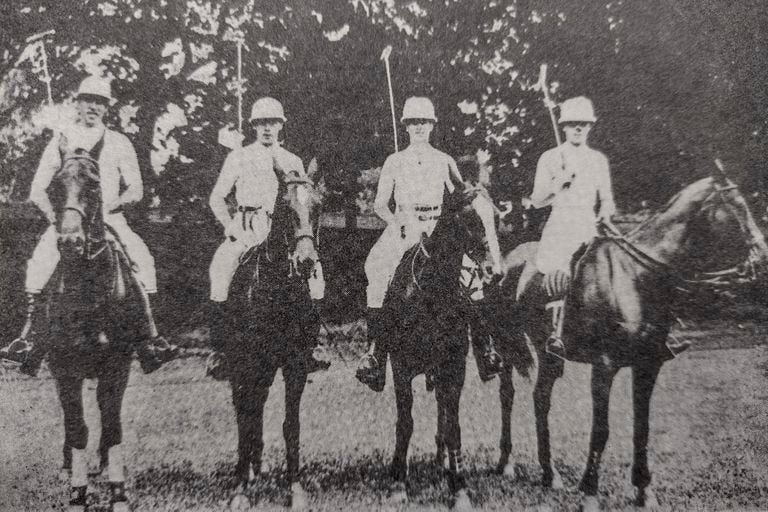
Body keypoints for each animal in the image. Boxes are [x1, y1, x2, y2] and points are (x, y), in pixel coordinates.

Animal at [42, 141, 150, 512]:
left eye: (94, 186)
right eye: (53, 189)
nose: (70, 242)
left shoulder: (117, 366)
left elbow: (112, 426)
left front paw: (118, 493)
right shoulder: (64, 369)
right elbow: (76, 428)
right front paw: (77, 494)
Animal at [218, 169, 322, 512]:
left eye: (318, 207)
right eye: (286, 208)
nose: (306, 262)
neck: (278, 290)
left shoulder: (295, 364)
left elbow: (291, 425)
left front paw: (295, 488)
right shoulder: (249, 363)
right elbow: (245, 420)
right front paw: (239, 490)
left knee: (257, 409)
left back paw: (258, 467)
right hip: (242, 367)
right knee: (245, 412)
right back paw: (248, 473)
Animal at [384, 179, 520, 508]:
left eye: (496, 219)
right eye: (469, 219)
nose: (495, 272)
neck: (432, 294)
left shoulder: (454, 367)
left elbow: (454, 425)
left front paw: (459, 488)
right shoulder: (400, 366)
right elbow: (405, 422)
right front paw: (398, 483)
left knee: (506, 395)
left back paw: (503, 462)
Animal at [488, 166, 764, 510]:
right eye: (737, 206)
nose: (762, 255)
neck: (635, 276)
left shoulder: (648, 364)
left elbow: (641, 426)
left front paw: (644, 490)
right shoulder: (604, 366)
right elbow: (601, 429)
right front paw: (590, 490)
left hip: (547, 352)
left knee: (541, 398)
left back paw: (549, 473)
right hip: (505, 343)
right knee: (507, 395)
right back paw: (506, 463)